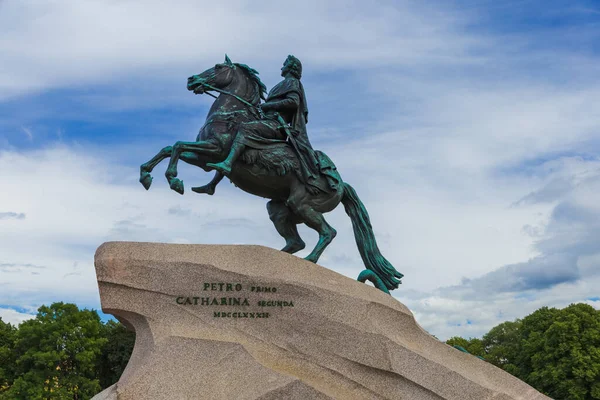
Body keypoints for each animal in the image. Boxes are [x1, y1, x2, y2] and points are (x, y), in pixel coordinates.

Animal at [139, 55, 404, 294]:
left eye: (217, 66)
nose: (191, 80)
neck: (231, 113)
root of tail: (341, 184)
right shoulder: (203, 159)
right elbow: (169, 148)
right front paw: (146, 175)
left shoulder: (214, 149)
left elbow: (177, 146)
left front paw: (174, 180)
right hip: (279, 209)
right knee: (296, 241)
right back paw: (274, 261)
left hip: (302, 204)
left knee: (328, 232)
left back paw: (309, 260)